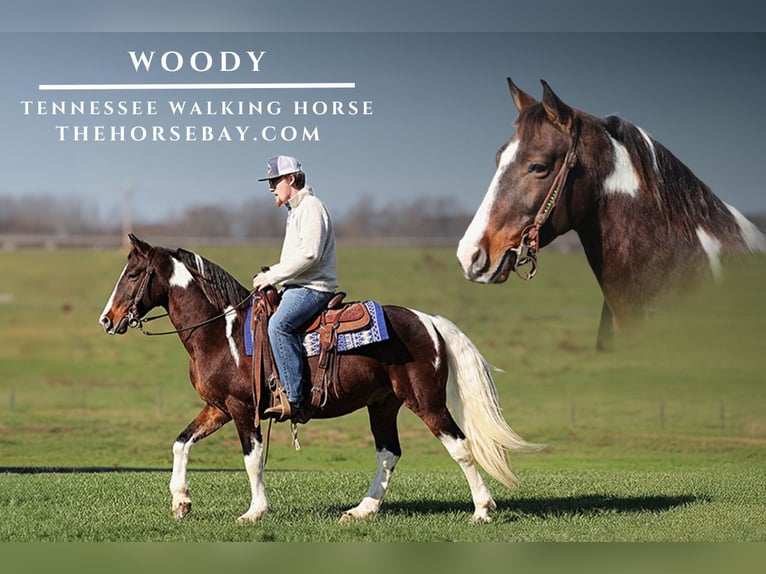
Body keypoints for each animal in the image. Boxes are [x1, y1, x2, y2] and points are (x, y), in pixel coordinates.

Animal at [97, 235, 540, 528]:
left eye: (133, 273)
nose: (107, 319)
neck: (220, 332)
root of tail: (427, 321)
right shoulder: (219, 408)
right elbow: (181, 443)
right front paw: (181, 502)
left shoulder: (243, 409)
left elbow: (252, 459)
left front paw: (254, 512)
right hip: (383, 404)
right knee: (388, 453)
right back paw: (362, 510)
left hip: (426, 401)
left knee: (460, 447)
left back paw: (482, 510)